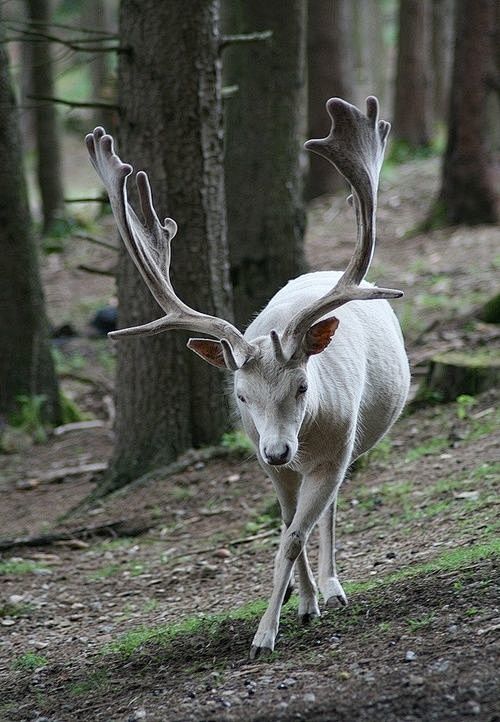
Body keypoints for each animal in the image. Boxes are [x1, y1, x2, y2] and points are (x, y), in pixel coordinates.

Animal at [86, 97, 410, 660]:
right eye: (240, 395)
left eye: (302, 386)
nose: (278, 450)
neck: (304, 437)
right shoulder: (266, 461)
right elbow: (284, 527)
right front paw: (301, 606)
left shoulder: (332, 450)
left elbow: (294, 536)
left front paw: (265, 635)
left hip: (348, 447)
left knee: (331, 507)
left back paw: (334, 587)